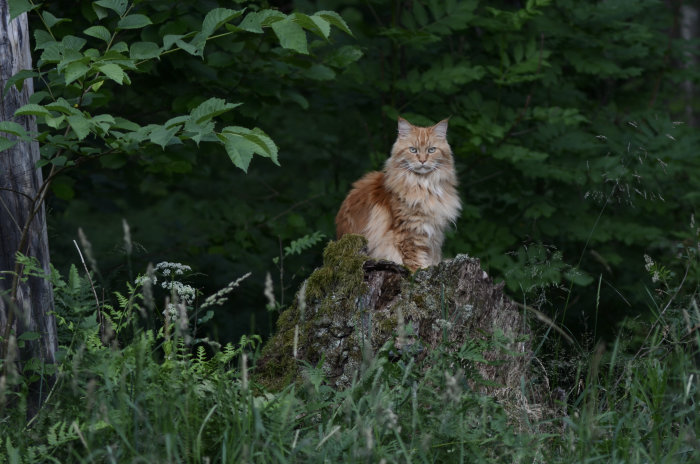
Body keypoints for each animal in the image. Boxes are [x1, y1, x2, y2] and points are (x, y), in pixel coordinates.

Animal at [336, 117, 462, 272]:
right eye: (413, 150)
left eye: (431, 150)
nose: (422, 160)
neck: (423, 185)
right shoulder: (409, 232)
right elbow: (415, 261)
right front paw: (419, 271)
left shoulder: (433, 235)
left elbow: (431, 257)